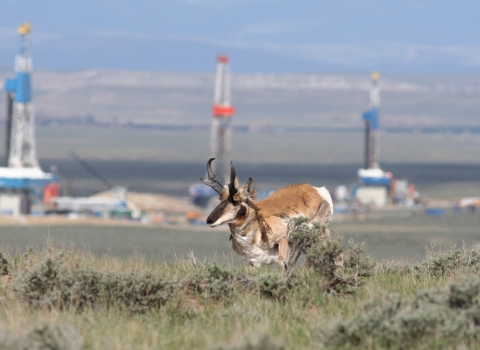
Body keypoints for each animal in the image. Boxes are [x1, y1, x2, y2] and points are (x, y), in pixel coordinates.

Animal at [200, 158, 334, 270]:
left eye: (236, 200)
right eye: (220, 198)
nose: (209, 220)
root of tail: (315, 190)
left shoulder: (283, 243)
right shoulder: (252, 263)